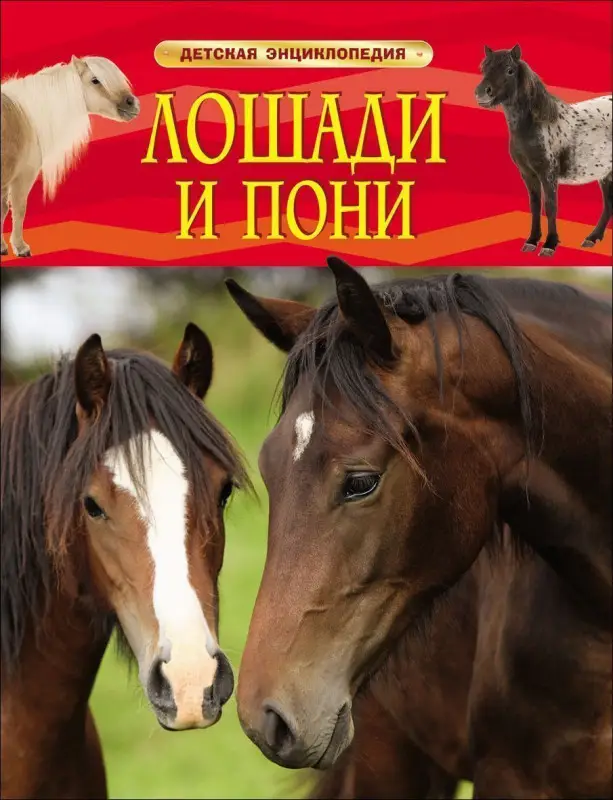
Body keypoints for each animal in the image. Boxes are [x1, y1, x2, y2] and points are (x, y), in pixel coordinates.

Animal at [1, 56, 139, 258]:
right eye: (95, 80)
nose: (133, 103)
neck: (26, 116)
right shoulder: (23, 174)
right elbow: (18, 208)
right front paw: (20, 247)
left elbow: (3, 209)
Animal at [475, 44, 612, 257]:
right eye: (484, 69)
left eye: (509, 70)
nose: (482, 93)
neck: (537, 124)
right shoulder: (528, 174)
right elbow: (535, 205)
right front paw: (532, 241)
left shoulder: (548, 174)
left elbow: (550, 206)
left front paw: (549, 244)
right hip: (605, 173)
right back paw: (592, 238)